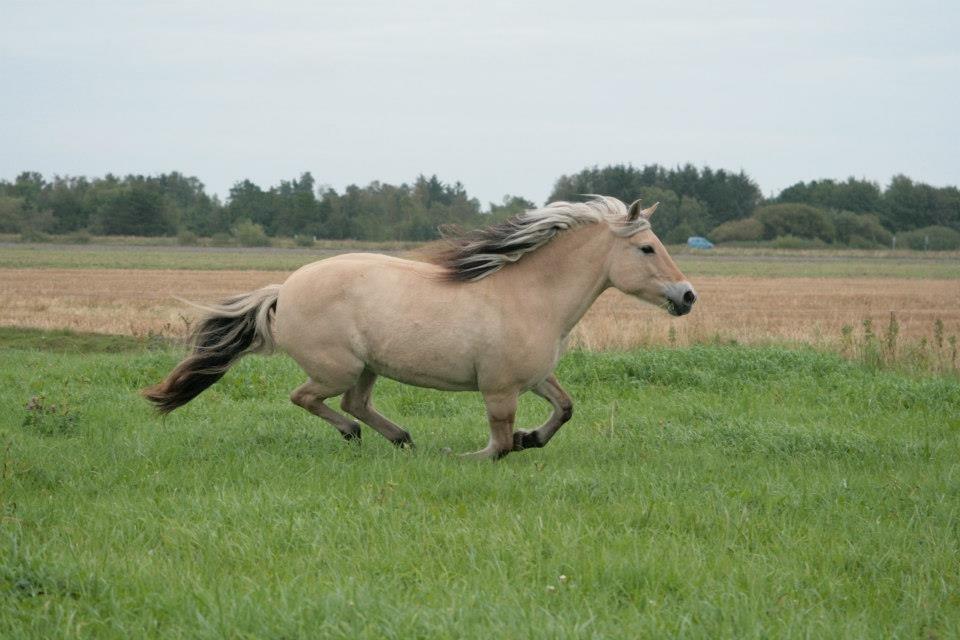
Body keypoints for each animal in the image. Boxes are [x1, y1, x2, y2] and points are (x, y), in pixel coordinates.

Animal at [144, 196, 696, 460]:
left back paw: (401, 439)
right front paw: (467, 454)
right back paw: (361, 437)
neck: (532, 296)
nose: (688, 296)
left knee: (355, 404)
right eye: (647, 247)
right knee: (310, 399)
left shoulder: (534, 377)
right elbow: (496, 445)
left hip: (367, 367)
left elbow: (564, 409)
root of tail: (284, 289)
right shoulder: (499, 388)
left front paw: (530, 439)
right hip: (337, 367)